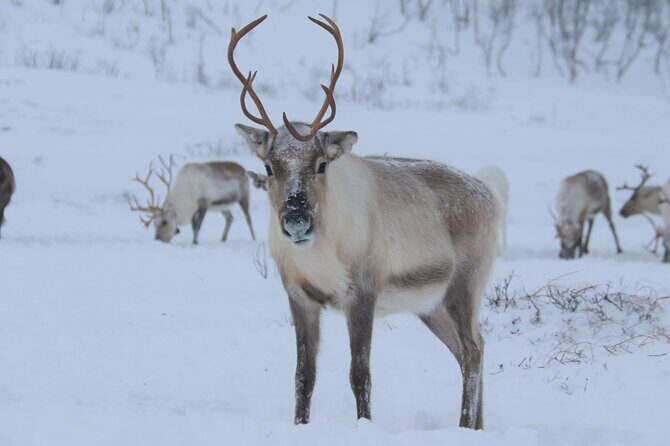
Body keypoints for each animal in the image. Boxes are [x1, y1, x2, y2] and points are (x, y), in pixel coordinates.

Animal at [229, 14, 498, 429]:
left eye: (321, 164)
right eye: (269, 167)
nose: (297, 221)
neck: (320, 257)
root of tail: (489, 195)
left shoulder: (362, 292)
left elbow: (360, 373)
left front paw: (365, 425)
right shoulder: (298, 295)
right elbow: (303, 375)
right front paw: (300, 425)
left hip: (464, 286)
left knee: (471, 351)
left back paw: (464, 424)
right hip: (430, 305)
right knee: (474, 346)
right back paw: (478, 427)